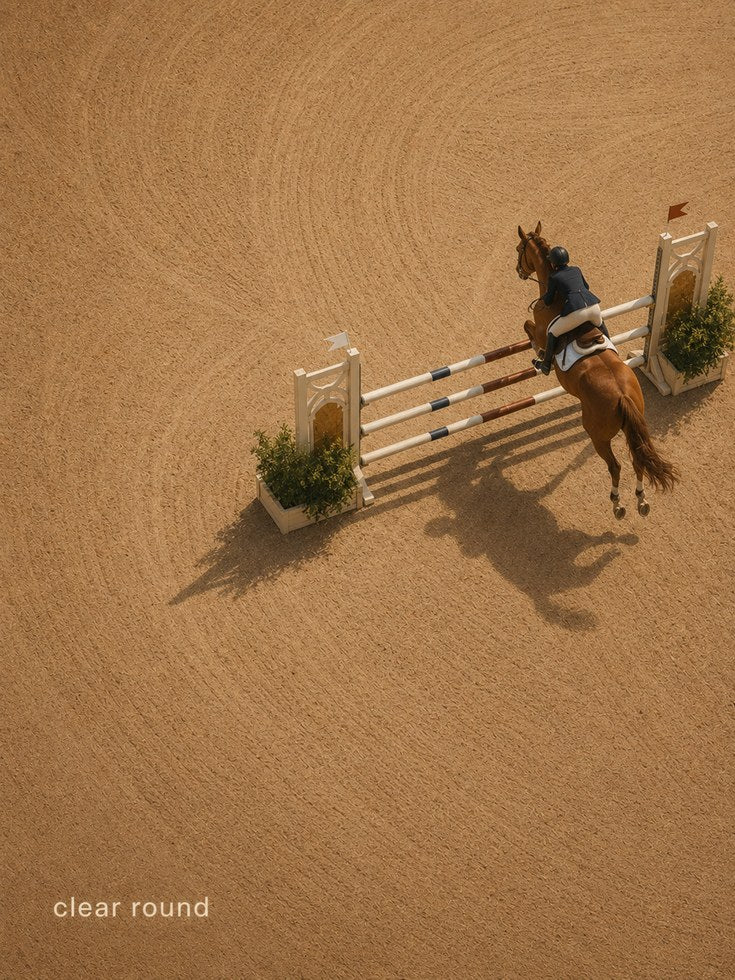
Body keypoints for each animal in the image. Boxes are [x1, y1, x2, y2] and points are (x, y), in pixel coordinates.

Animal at [516, 222, 678, 518]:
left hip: (596, 434)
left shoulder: (543, 330)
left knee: (615, 466)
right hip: (634, 421)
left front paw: (539, 359)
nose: (518, 271)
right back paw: (641, 500)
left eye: (519, 249)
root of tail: (622, 396)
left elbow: (530, 330)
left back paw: (617, 504)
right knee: (637, 459)